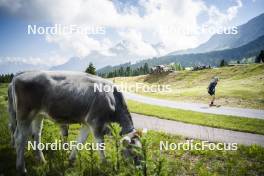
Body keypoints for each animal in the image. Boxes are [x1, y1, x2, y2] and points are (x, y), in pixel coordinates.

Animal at [7, 70, 140, 175]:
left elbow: (80, 141)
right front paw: (105, 165)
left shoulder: (87, 123)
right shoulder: (96, 122)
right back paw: (21, 168)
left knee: (36, 135)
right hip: (24, 114)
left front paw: (71, 160)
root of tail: (17, 76)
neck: (112, 99)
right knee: (20, 137)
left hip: (38, 115)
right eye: (134, 153)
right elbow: (100, 145)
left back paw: (42, 160)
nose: (139, 170)